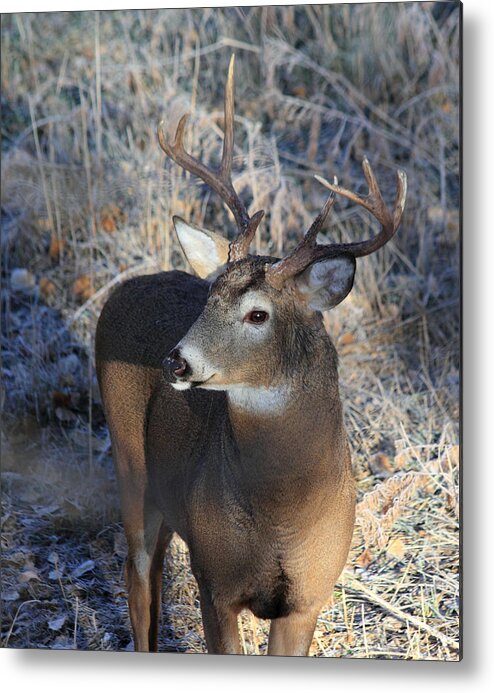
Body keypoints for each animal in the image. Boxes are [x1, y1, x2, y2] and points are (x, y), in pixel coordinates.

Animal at [95, 55, 406, 656]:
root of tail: (126, 288)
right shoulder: (216, 580)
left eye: (258, 314)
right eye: (210, 294)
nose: (176, 362)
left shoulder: (309, 594)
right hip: (129, 461)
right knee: (138, 573)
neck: (281, 515)